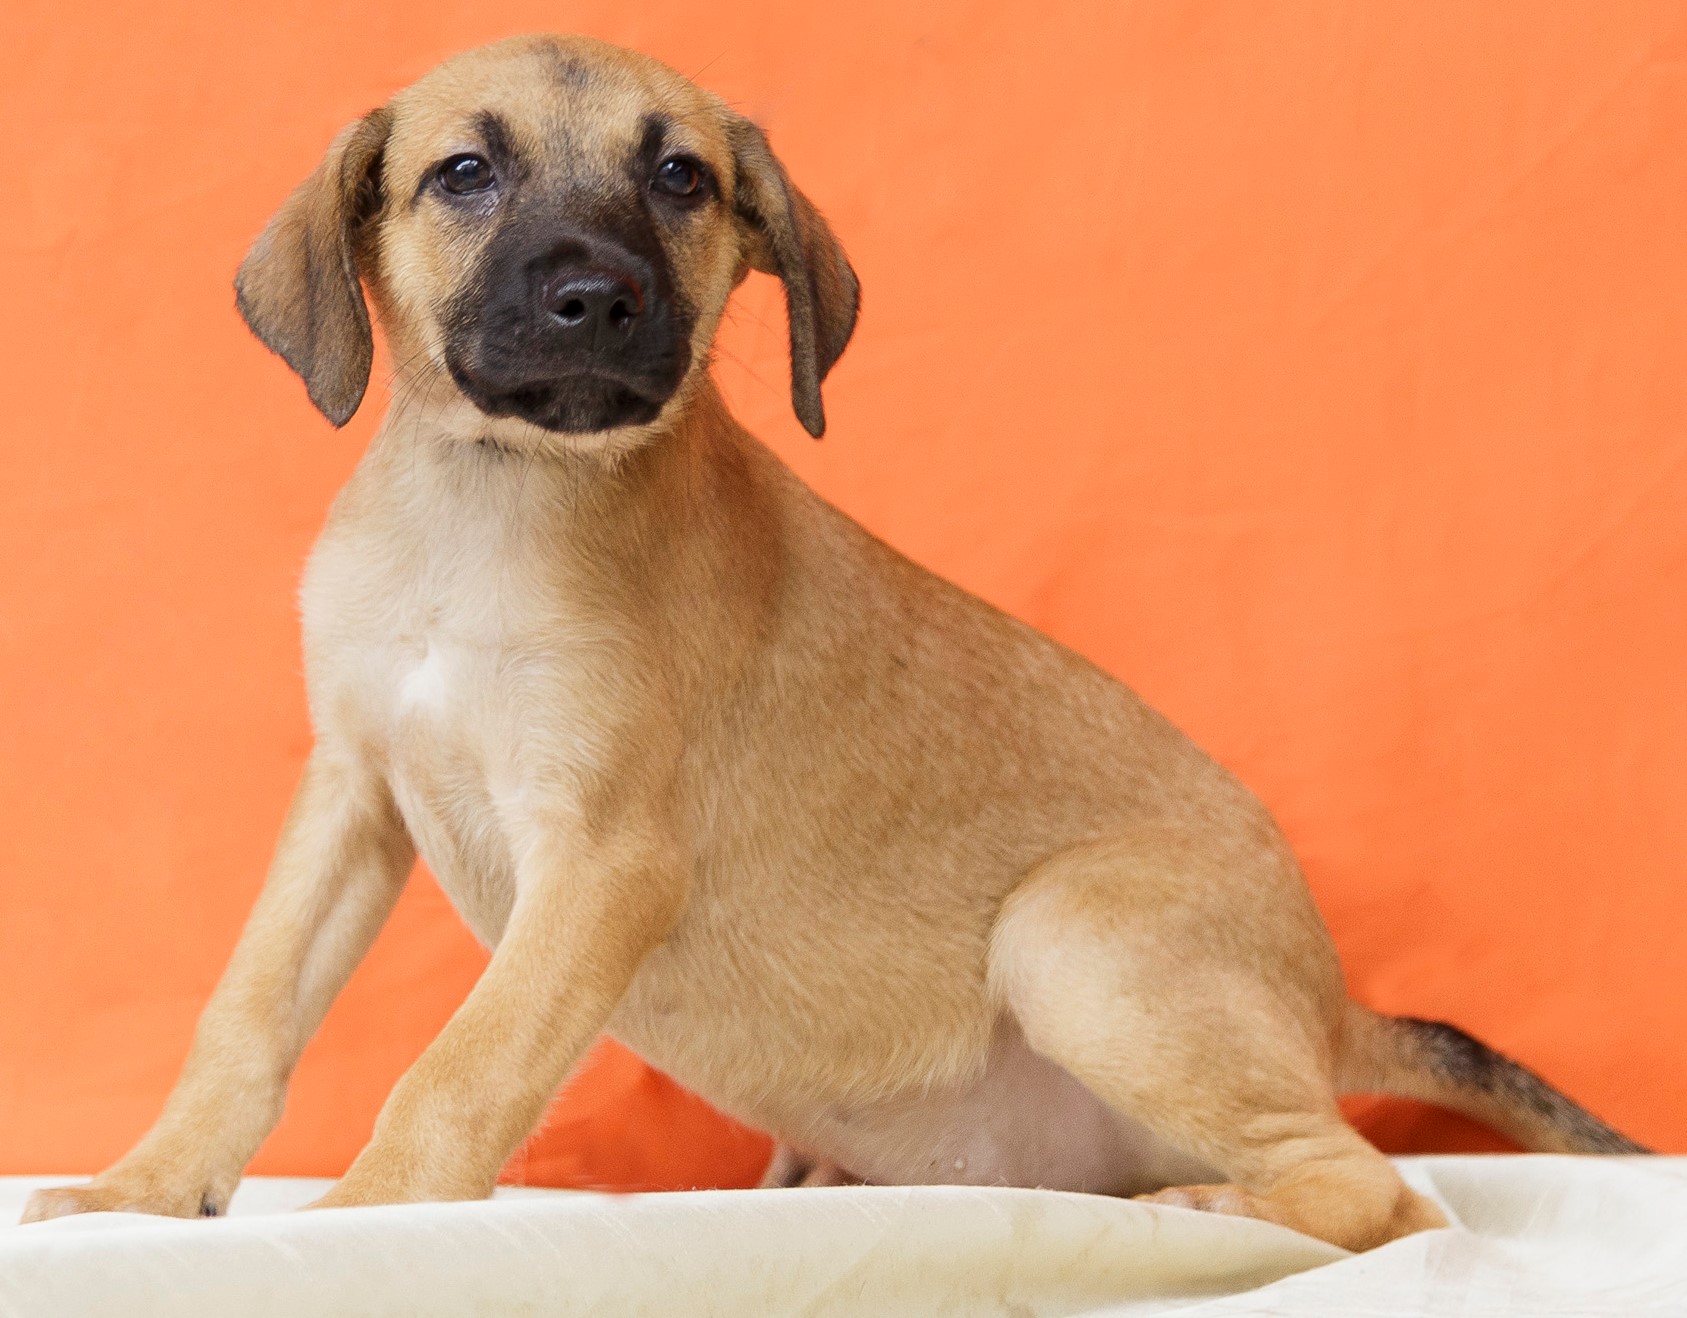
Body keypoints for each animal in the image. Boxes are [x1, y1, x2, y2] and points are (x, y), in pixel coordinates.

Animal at [19, 30, 1639, 1242]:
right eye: (462, 173)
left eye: (681, 175)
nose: (595, 297)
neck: (487, 503)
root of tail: (1326, 1000)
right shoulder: (350, 795)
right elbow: (246, 1009)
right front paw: (146, 1188)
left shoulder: (602, 859)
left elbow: (459, 1066)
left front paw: (370, 1213)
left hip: (1071, 933)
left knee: (1384, 1191)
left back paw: (1212, 1206)